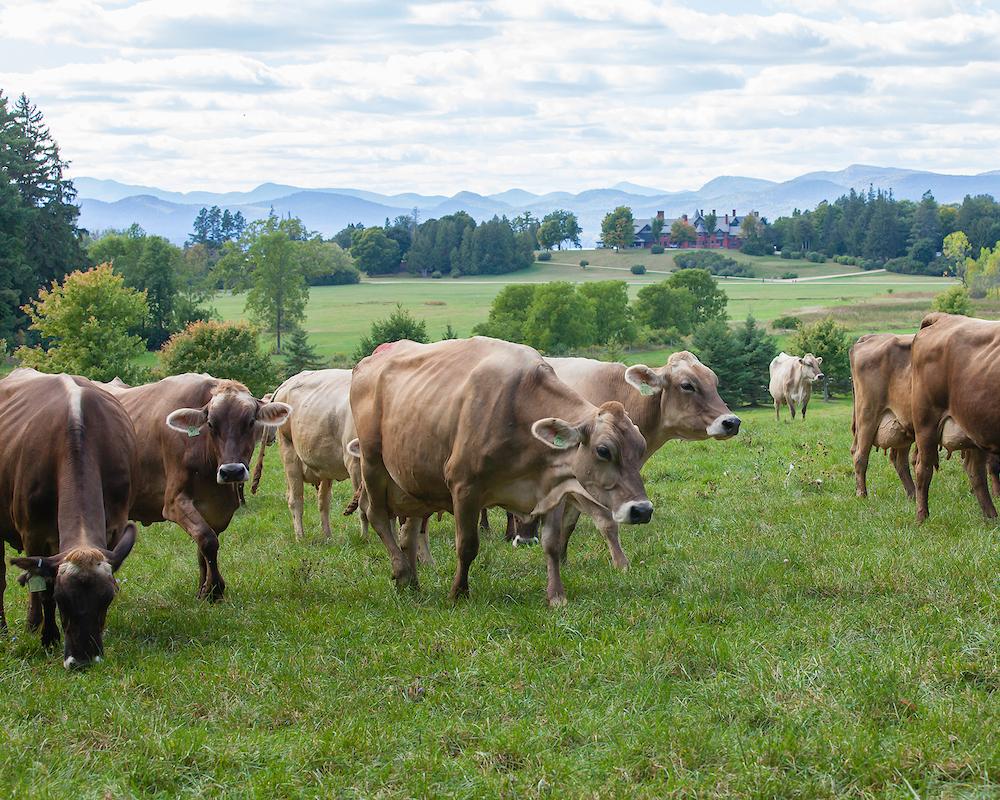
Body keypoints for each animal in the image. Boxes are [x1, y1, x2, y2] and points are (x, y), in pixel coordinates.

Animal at [0, 370, 138, 668]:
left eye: (107, 598)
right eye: (62, 599)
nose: (83, 659)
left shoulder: (114, 527)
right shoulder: (34, 533)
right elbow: (43, 588)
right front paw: (49, 637)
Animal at [101, 376, 290, 600]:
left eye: (251, 422)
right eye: (211, 424)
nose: (232, 471)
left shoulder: (220, 508)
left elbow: (204, 547)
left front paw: (203, 589)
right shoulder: (174, 502)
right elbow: (207, 539)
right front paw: (215, 588)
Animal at [352, 338, 656, 608]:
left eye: (641, 446)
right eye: (603, 450)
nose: (642, 510)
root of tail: (368, 361)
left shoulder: (552, 488)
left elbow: (552, 544)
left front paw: (556, 596)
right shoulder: (464, 487)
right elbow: (467, 545)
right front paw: (458, 593)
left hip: (413, 481)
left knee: (409, 533)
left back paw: (414, 582)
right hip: (373, 464)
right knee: (377, 516)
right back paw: (402, 571)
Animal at [516, 352, 744, 568]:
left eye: (714, 382)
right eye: (687, 385)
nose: (732, 422)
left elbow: (569, 523)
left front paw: (563, 560)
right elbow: (606, 521)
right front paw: (621, 565)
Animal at [912, 312, 1000, 524]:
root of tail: (943, 318)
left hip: (976, 425)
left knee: (975, 472)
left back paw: (991, 518)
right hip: (926, 423)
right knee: (922, 469)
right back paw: (921, 518)